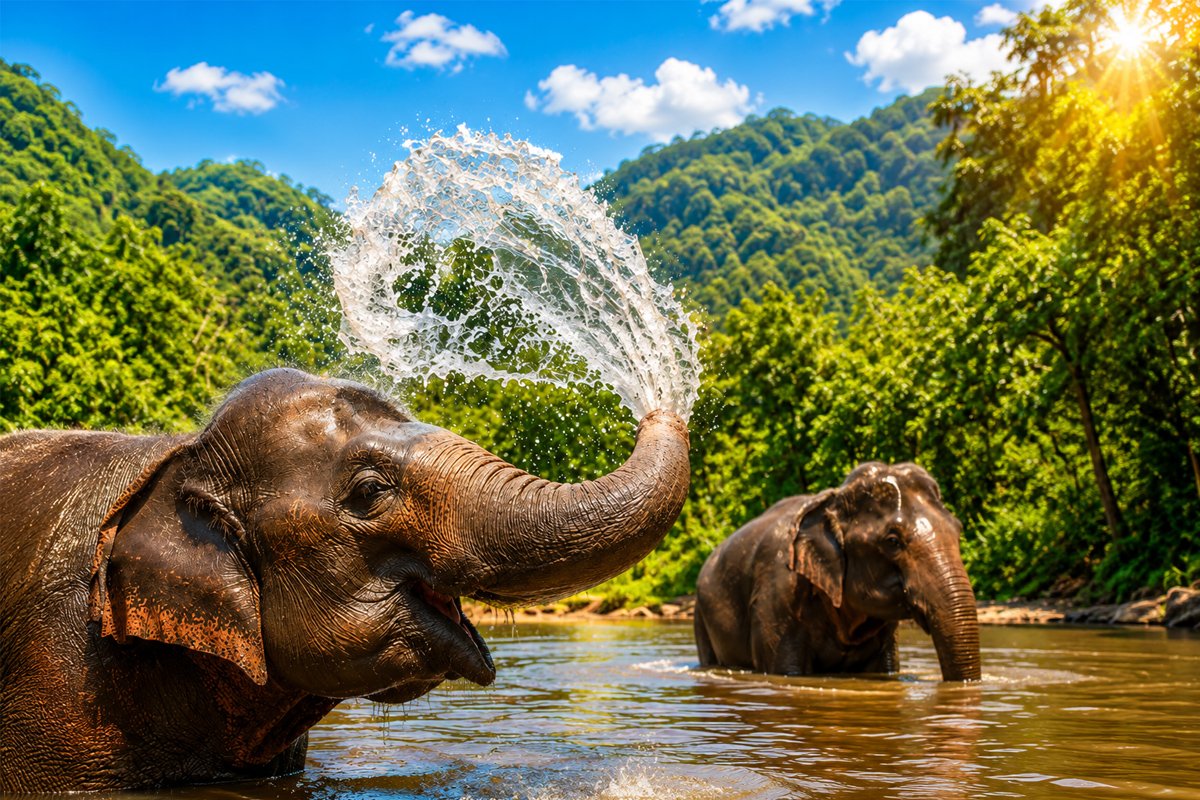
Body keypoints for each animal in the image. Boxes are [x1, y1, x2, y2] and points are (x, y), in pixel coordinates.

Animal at [693, 462, 980, 681]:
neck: (833, 500)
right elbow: (786, 670)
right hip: (701, 616)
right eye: (892, 541)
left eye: (958, 529)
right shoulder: (776, 599)